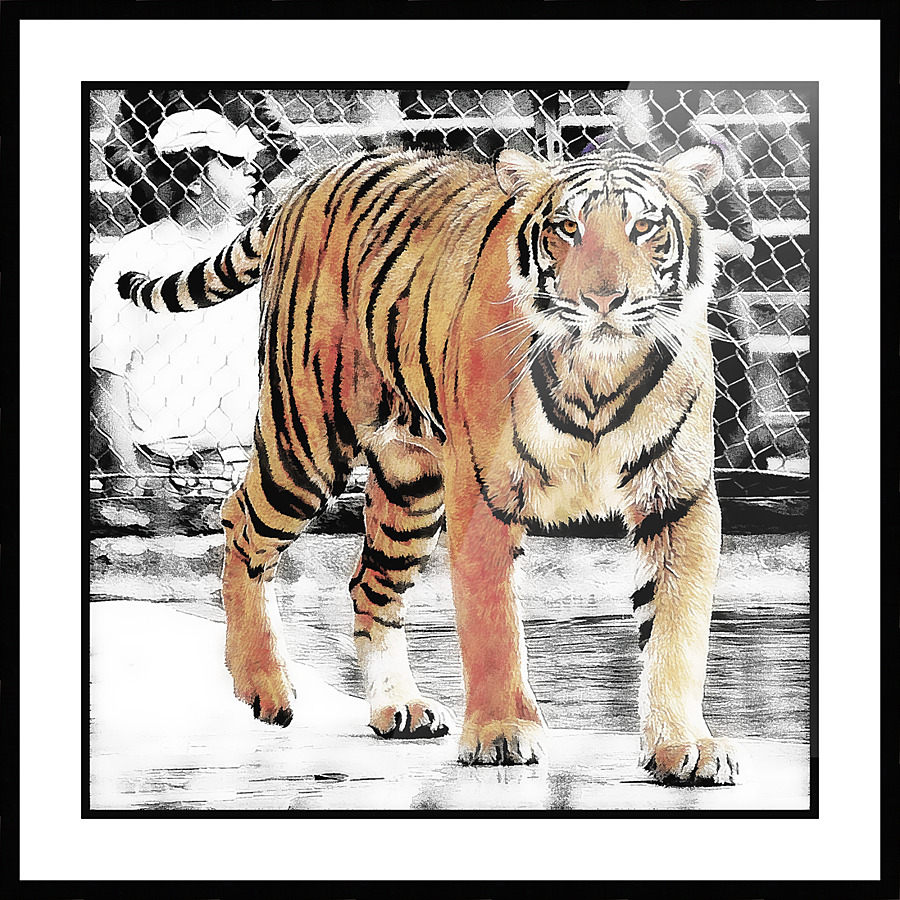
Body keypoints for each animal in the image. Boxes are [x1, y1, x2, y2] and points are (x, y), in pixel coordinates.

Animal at [117, 144, 739, 785]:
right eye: (568, 228)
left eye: (645, 228)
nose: (604, 301)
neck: (597, 371)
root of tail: (311, 177)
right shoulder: (486, 496)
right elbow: (493, 623)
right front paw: (501, 733)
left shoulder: (678, 501)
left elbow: (677, 632)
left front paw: (683, 746)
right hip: (304, 442)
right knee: (240, 520)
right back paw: (265, 688)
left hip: (409, 488)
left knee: (370, 584)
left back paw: (399, 706)